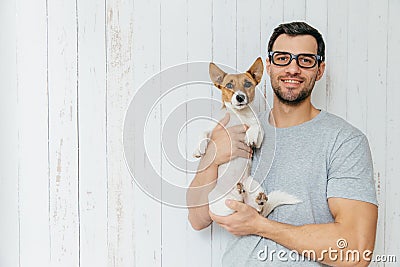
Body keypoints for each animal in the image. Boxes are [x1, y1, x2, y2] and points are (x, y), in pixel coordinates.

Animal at [194, 57, 300, 217]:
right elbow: (203, 132)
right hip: (216, 203)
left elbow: (256, 127)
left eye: (248, 84)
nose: (240, 97)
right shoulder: (215, 127)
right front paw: (199, 148)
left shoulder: (259, 134)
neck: (239, 115)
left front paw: (250, 136)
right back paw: (238, 193)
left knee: (254, 207)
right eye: (229, 85)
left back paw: (256, 199)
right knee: (231, 206)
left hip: (253, 184)